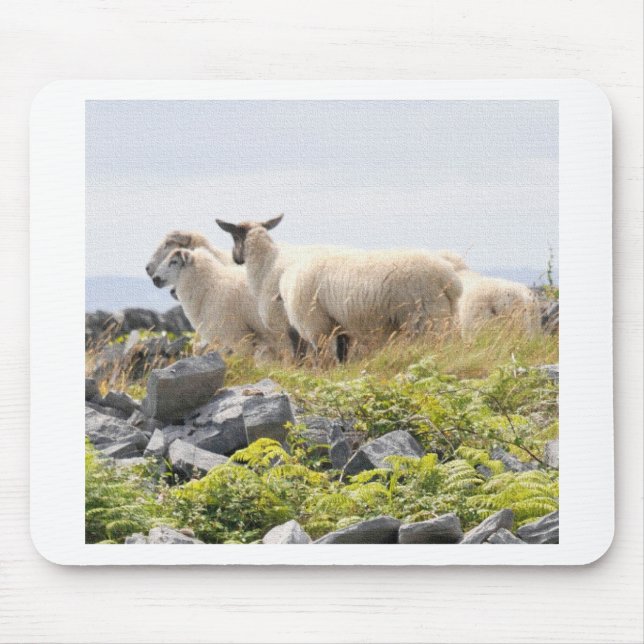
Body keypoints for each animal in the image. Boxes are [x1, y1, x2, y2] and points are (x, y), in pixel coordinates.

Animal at [277, 246, 463, 361]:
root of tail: (449, 277)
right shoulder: (339, 323)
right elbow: (342, 351)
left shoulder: (316, 324)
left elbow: (321, 353)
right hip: (444, 314)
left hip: (425, 314)